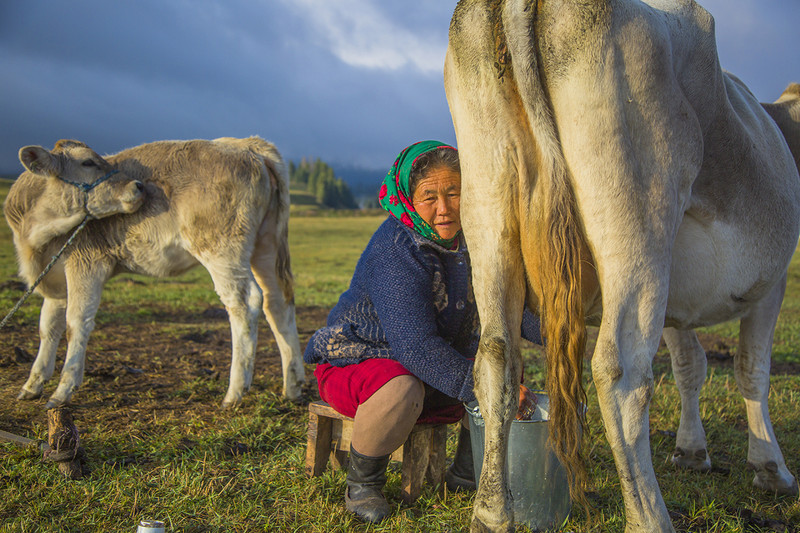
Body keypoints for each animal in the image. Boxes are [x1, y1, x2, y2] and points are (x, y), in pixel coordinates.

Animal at [5, 136, 306, 408]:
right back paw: (293, 385)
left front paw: (63, 389)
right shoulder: (54, 282)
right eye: (87, 162)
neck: (35, 237)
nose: (138, 185)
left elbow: (75, 323)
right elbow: (47, 327)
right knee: (277, 302)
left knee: (244, 303)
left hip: (222, 251)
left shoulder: (86, 263)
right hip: (266, 247)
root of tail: (247, 145)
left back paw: (234, 393)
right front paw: (33, 383)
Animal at [444, 1, 800, 532]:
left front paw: (691, 452)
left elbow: (690, 365)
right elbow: (751, 369)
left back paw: (491, 513)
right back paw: (649, 517)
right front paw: (771, 468)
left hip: (487, 202)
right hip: (639, 215)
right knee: (621, 374)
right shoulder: (772, 281)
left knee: (496, 356)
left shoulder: (677, 302)